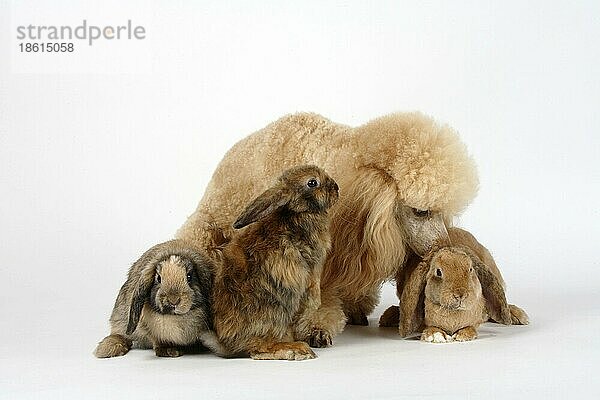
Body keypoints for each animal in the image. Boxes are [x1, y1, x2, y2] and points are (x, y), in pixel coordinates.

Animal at [213, 165, 340, 360]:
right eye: (312, 182)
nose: (336, 188)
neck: (300, 213)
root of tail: (227, 343)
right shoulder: (312, 270)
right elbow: (313, 293)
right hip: (276, 315)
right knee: (260, 349)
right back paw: (297, 349)